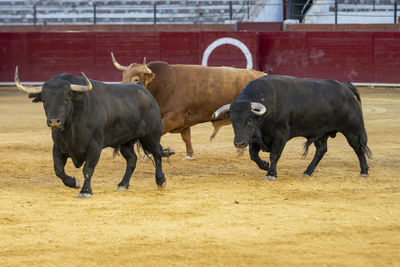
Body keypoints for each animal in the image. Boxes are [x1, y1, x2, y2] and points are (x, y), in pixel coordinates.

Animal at [14, 67, 168, 199]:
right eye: (44, 100)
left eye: (66, 99)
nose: (54, 121)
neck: (71, 128)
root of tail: (143, 89)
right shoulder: (58, 147)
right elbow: (58, 169)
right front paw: (73, 182)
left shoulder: (94, 146)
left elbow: (88, 169)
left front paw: (85, 191)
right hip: (125, 141)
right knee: (132, 159)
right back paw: (123, 184)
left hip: (151, 135)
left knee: (157, 155)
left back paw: (161, 181)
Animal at [111, 52, 266, 161]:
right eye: (123, 78)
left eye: (136, 79)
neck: (161, 85)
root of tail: (262, 74)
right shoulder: (183, 120)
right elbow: (186, 137)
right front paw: (189, 155)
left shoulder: (174, 117)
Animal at [212, 74, 372, 181]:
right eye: (232, 121)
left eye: (249, 121)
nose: (239, 143)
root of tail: (345, 86)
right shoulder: (255, 138)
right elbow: (253, 156)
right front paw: (265, 165)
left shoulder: (279, 137)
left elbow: (274, 155)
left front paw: (271, 174)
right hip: (320, 133)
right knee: (321, 150)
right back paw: (307, 172)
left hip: (352, 130)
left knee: (358, 148)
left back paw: (364, 171)